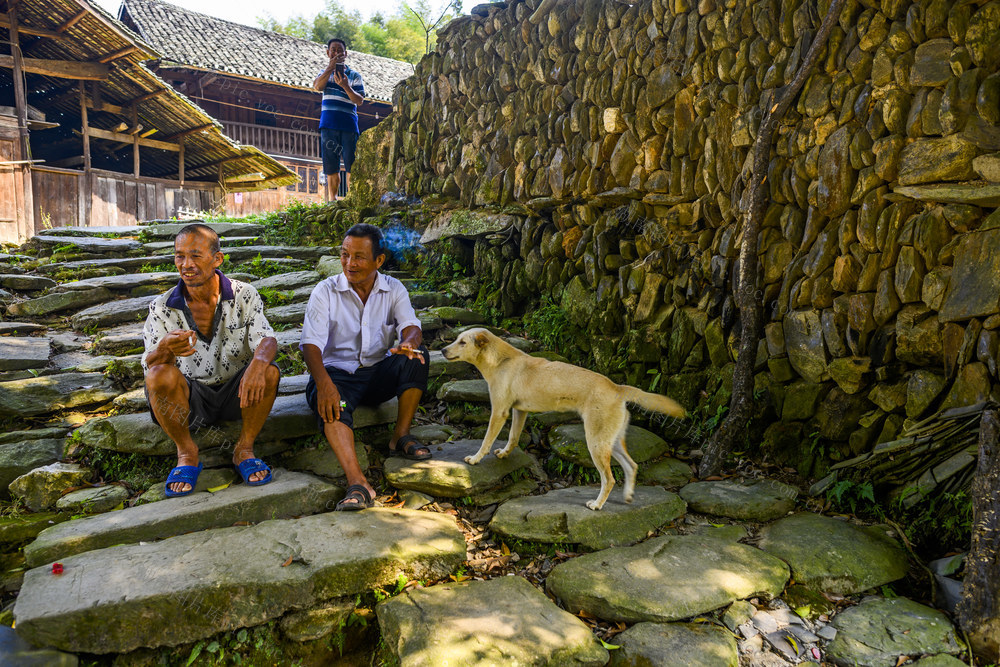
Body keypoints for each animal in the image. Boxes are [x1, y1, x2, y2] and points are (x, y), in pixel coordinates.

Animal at [446, 328, 688, 512]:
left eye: (462, 342)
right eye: (455, 339)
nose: (442, 350)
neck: (500, 360)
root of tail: (617, 388)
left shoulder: (499, 411)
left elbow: (487, 440)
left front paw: (475, 459)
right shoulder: (518, 411)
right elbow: (513, 438)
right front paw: (505, 453)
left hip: (596, 443)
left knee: (609, 479)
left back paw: (597, 505)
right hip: (610, 442)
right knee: (632, 466)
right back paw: (628, 495)